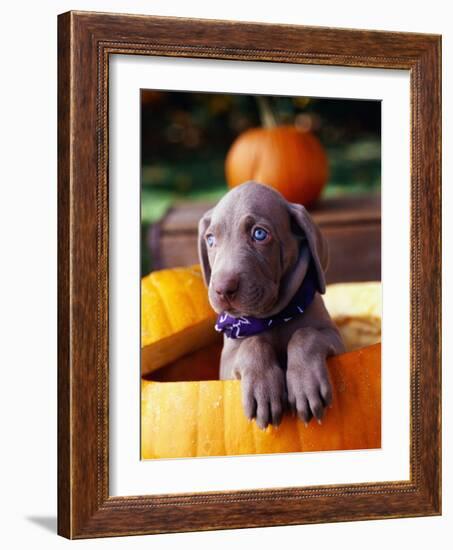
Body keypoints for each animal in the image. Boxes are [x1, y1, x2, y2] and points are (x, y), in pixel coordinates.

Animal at [197, 182, 342, 432]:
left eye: (259, 234)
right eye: (211, 240)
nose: (222, 289)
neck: (272, 317)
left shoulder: (337, 340)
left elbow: (305, 334)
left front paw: (305, 385)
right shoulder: (226, 366)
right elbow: (252, 343)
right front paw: (262, 389)